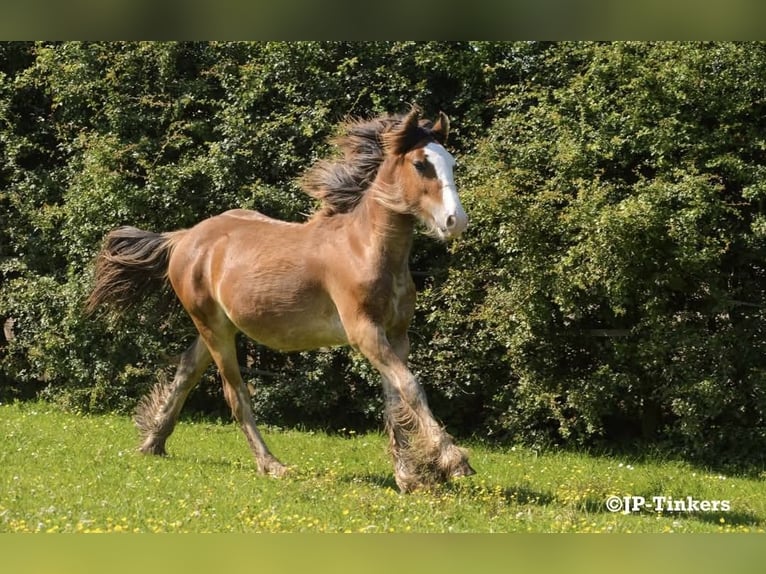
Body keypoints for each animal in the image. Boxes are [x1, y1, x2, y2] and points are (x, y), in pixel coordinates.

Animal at [87, 108, 476, 496]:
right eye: (421, 164)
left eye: (452, 163)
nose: (455, 221)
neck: (364, 248)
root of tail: (184, 238)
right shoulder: (365, 332)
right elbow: (411, 388)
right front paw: (453, 462)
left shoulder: (396, 336)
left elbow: (395, 399)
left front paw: (408, 476)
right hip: (215, 332)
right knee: (236, 394)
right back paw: (271, 465)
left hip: (216, 328)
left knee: (186, 371)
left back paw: (152, 442)